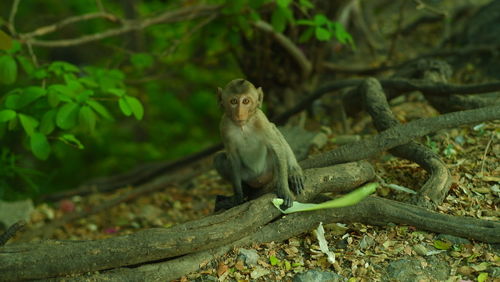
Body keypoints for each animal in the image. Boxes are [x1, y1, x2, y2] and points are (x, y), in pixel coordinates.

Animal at [212, 78, 302, 210]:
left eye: (246, 101)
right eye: (233, 101)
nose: (239, 113)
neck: (243, 126)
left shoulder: (261, 120)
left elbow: (277, 147)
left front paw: (284, 190)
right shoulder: (224, 126)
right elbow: (232, 158)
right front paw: (238, 197)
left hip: (270, 172)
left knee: (273, 128)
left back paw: (294, 171)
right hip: (248, 177)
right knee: (219, 158)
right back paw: (245, 191)